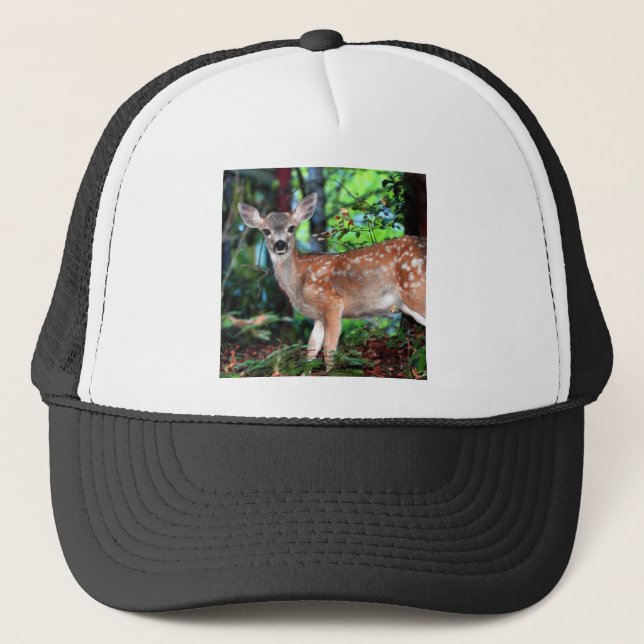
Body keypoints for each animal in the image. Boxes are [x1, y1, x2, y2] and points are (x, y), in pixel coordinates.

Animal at [238, 193, 426, 371]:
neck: (299, 281)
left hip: (416, 288)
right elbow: (312, 347)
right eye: (266, 231)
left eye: (291, 228)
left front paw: (330, 372)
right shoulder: (318, 316)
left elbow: (329, 349)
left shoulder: (331, 302)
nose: (280, 245)